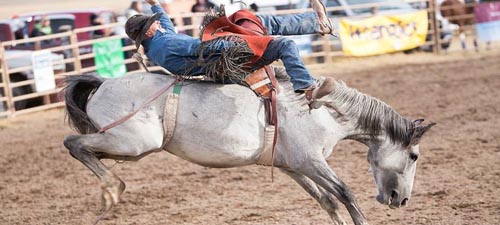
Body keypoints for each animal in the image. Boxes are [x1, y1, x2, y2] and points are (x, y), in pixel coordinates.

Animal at [63, 69, 434, 225]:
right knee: (73, 143)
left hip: (123, 146)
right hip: (133, 142)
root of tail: (102, 83)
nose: (401, 199)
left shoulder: (294, 166)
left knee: (86, 149)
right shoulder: (312, 161)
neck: (323, 110)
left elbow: (327, 200)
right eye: (413, 155)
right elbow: (345, 193)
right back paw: (111, 188)